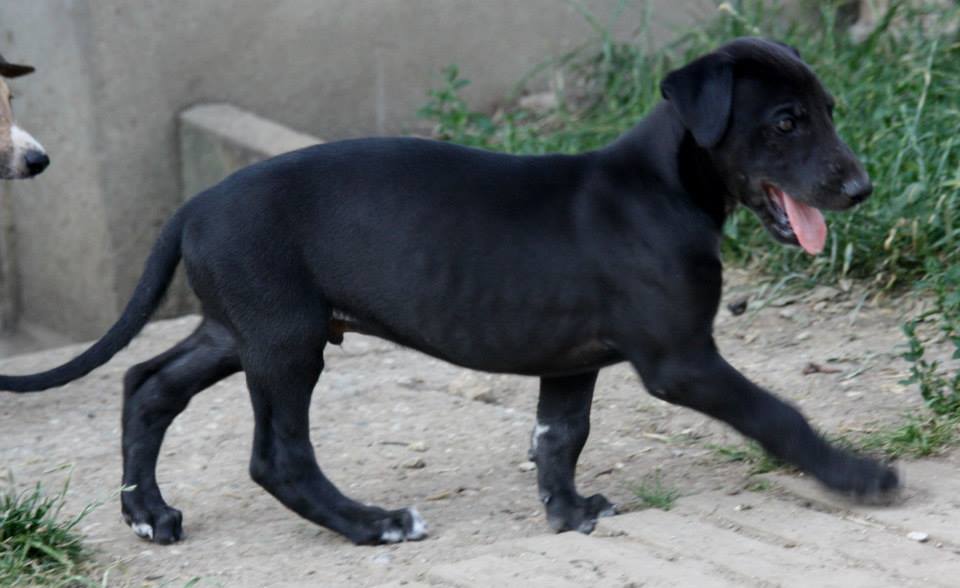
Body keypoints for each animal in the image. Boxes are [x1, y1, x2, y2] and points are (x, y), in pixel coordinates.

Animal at [3, 39, 896, 548]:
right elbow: (777, 414)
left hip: (240, 330)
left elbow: (558, 437)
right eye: (786, 121)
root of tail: (193, 205)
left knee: (147, 386)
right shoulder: (682, 360)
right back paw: (374, 525)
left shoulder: (571, 359)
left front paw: (568, 514)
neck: (665, 185)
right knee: (276, 455)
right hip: (285, 342)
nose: (861, 187)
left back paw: (147, 514)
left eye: (827, 110)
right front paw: (855, 475)